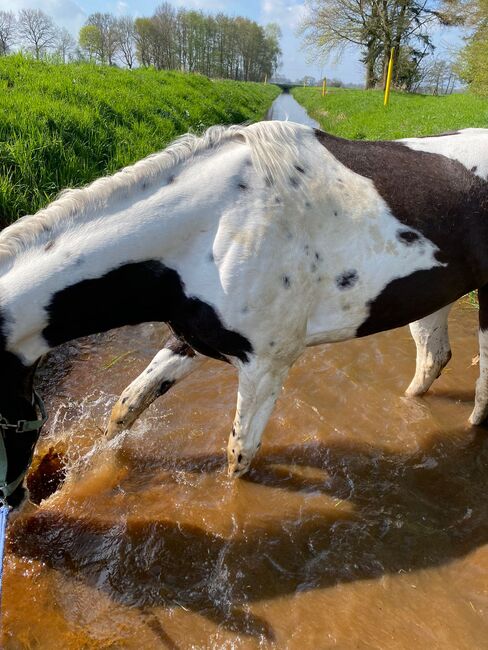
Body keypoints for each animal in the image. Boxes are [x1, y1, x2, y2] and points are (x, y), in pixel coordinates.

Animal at [0, 121, 486, 506]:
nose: (20, 502)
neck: (219, 227)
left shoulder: (266, 365)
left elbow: (238, 457)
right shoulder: (190, 340)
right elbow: (125, 409)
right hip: (432, 297)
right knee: (432, 358)